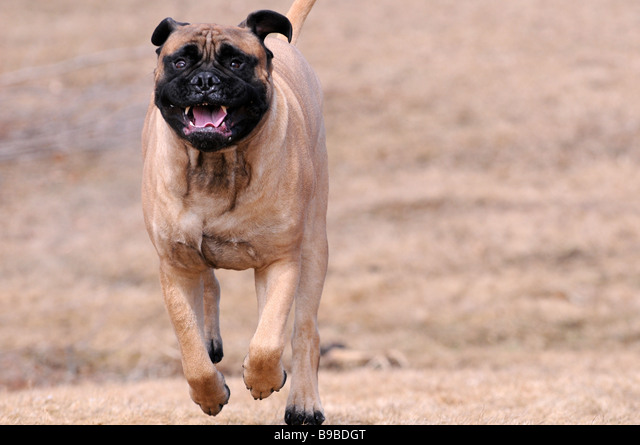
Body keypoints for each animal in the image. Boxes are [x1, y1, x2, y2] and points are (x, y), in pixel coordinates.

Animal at [142, 0, 328, 424]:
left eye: (236, 62)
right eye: (181, 62)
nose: (205, 81)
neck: (216, 165)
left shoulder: (280, 259)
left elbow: (268, 339)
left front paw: (263, 378)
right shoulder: (174, 265)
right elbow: (190, 346)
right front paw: (210, 393)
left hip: (313, 247)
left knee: (303, 329)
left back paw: (303, 401)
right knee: (209, 287)